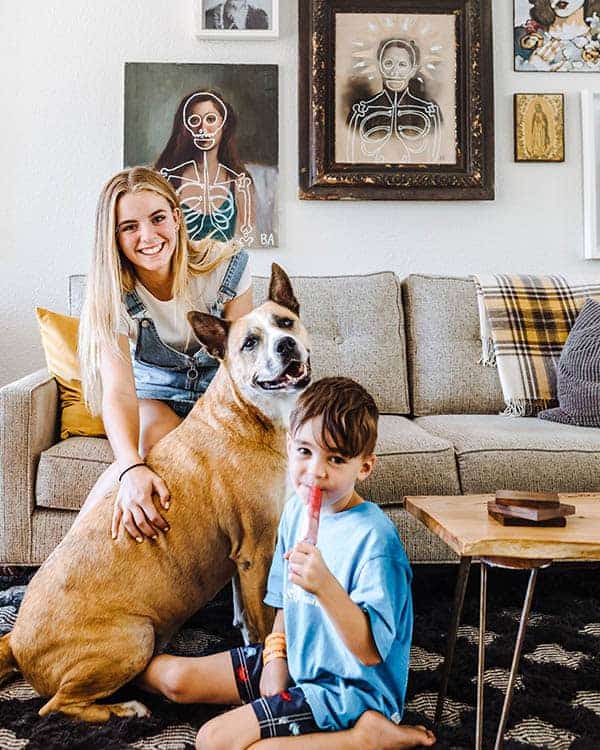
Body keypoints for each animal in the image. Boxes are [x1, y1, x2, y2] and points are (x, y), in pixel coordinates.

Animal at [0, 264, 312, 724]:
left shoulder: (241, 554)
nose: (286, 344)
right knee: (54, 705)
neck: (248, 412)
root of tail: (17, 642)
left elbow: (242, 604)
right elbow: (261, 615)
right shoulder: (257, 547)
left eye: (285, 323)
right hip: (135, 636)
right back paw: (126, 708)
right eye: (250, 343)